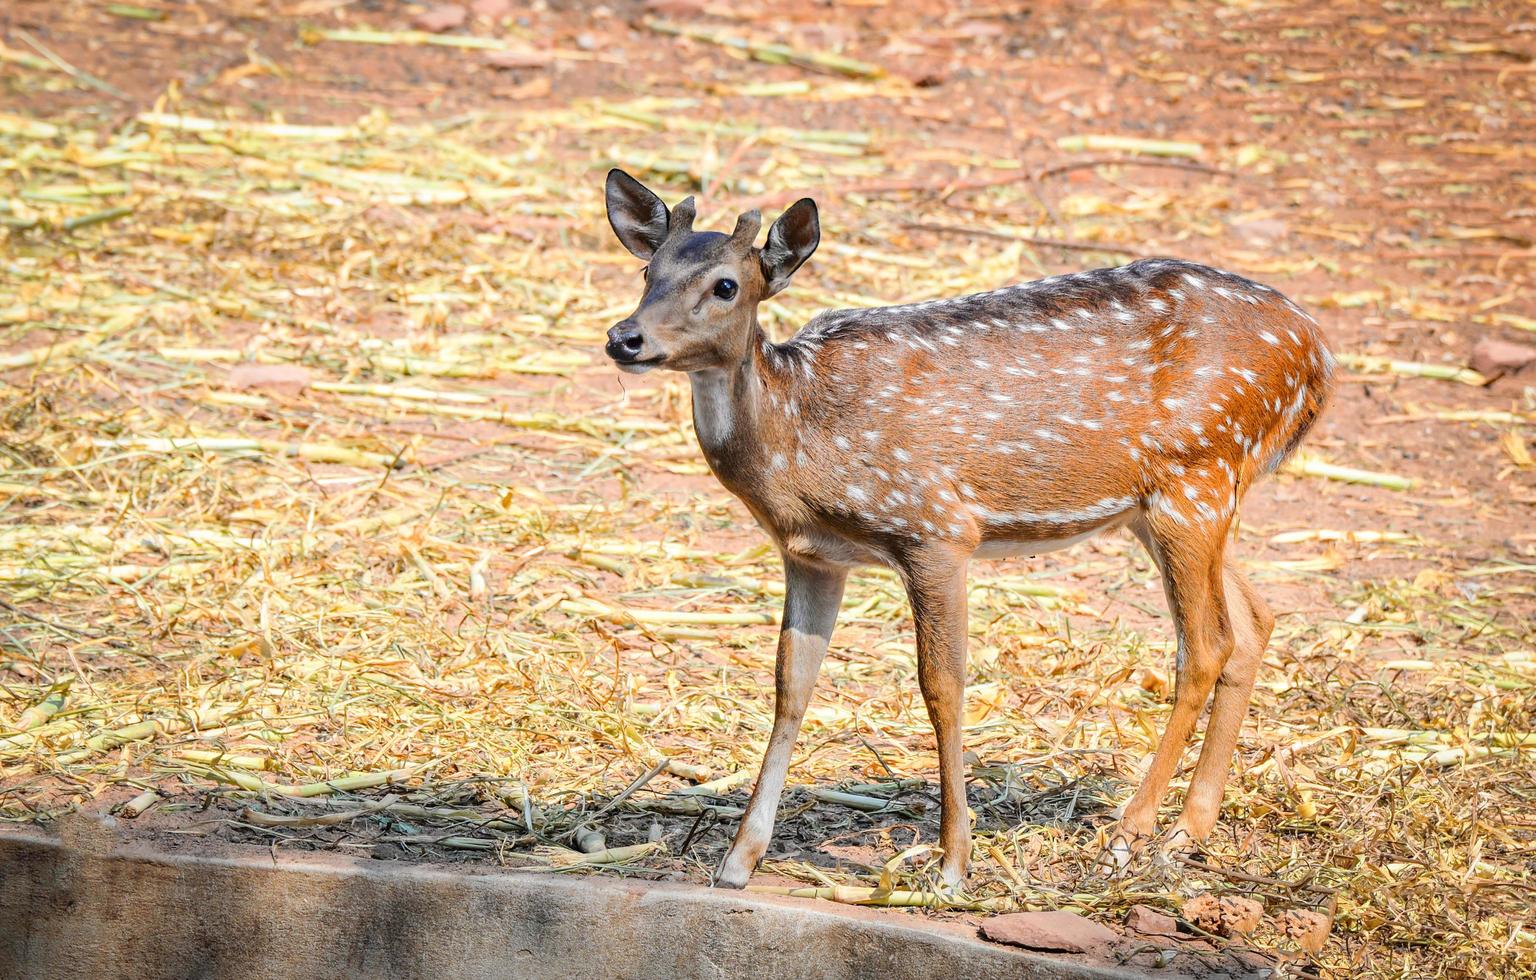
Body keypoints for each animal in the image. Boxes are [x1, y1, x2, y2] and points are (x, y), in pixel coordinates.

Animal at [599, 168, 1333, 890]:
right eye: (647, 272)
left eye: (726, 285)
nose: (624, 337)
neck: (798, 446)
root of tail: (1317, 354)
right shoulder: (814, 556)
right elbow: (790, 688)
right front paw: (738, 861)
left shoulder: (935, 528)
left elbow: (941, 688)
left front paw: (953, 863)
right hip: (1170, 504)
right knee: (1255, 620)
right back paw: (1186, 831)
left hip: (1196, 479)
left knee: (1206, 645)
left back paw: (1127, 837)